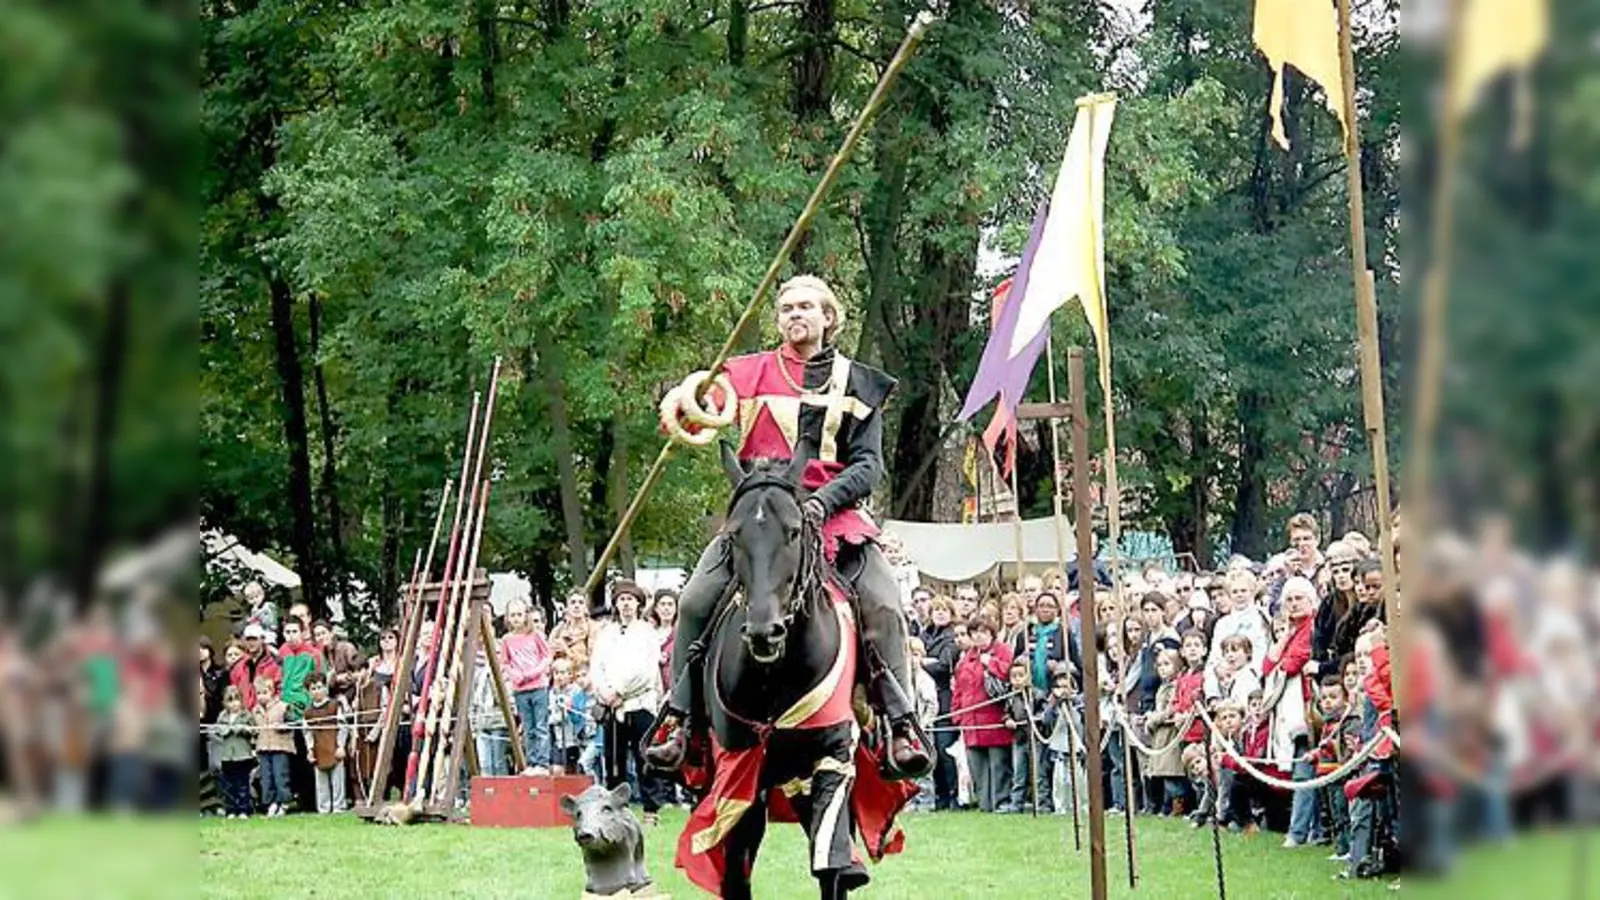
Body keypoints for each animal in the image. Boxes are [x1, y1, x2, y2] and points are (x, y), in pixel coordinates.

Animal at [697, 445, 870, 896]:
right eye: (734, 535)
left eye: (793, 531)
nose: (764, 631)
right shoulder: (738, 772)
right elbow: (736, 872)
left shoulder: (831, 760)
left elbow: (831, 863)